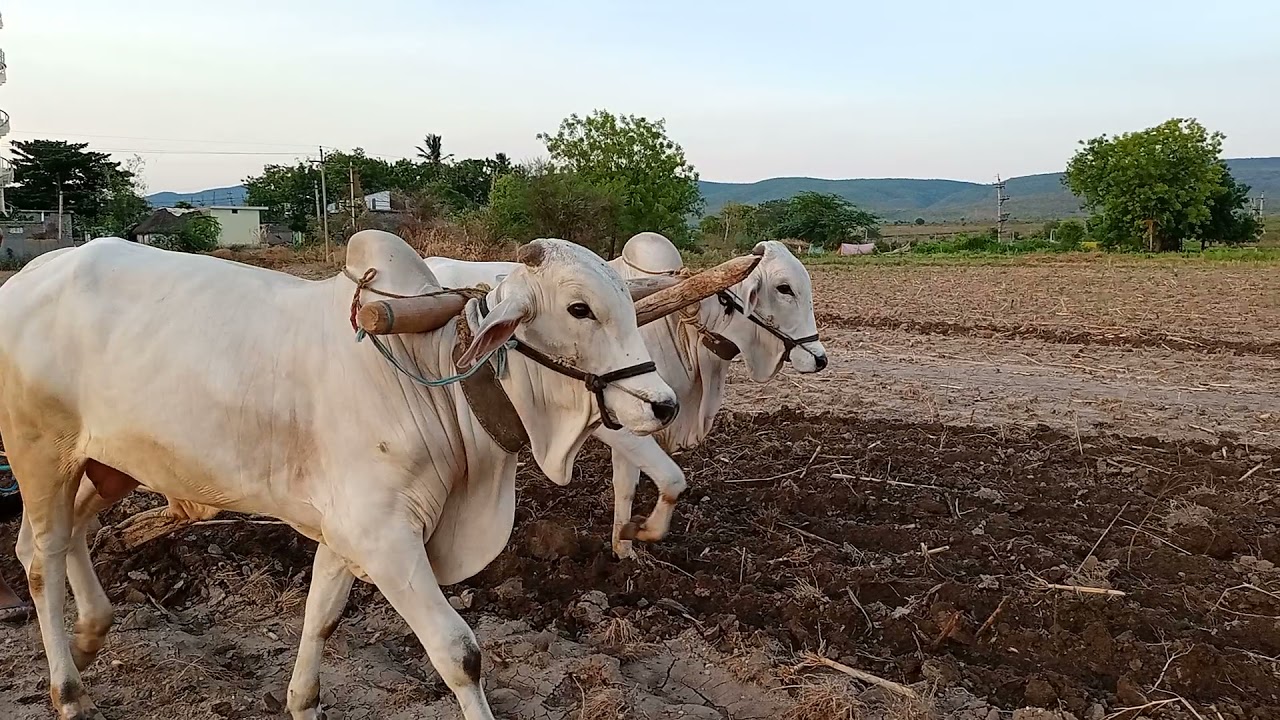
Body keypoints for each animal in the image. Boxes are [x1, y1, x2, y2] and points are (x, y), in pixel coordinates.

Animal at [0, 230, 711, 720]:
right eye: (579, 309)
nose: (662, 405)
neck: (433, 372)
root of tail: (27, 277)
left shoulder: (346, 534)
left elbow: (321, 617)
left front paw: (302, 701)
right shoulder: (384, 536)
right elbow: (459, 652)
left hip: (104, 465)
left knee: (59, 539)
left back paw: (91, 635)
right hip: (40, 454)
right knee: (41, 556)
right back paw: (68, 689)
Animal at [427, 232, 827, 559]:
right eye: (785, 288)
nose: (820, 358)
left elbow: (627, 486)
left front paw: (623, 547)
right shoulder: (619, 422)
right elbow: (671, 479)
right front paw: (640, 532)